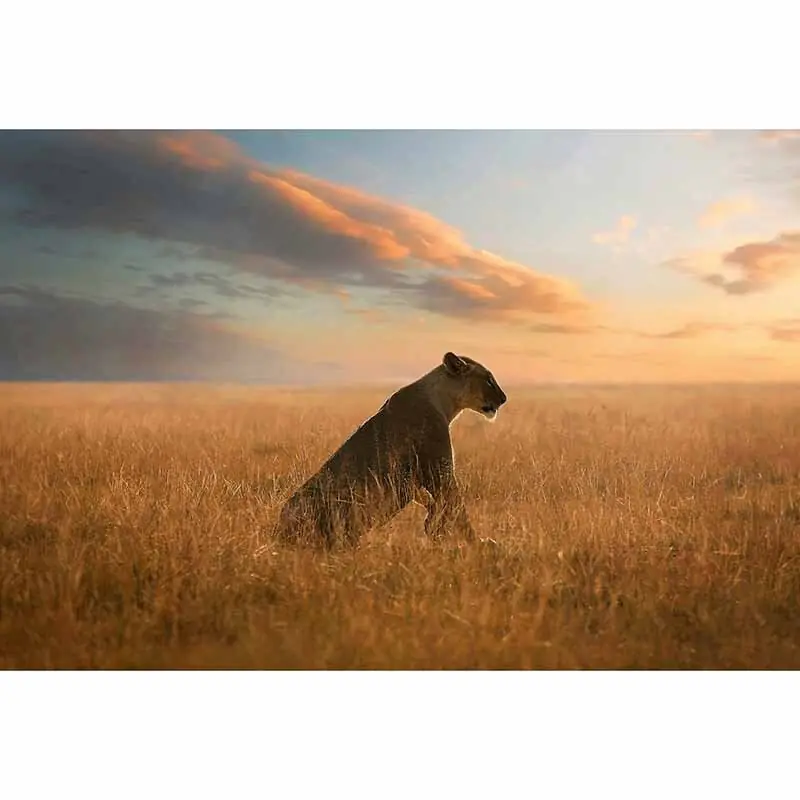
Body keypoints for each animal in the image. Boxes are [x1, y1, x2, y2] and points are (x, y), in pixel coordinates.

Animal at [272, 351, 508, 548]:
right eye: (488, 379)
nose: (504, 398)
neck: (443, 401)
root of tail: (276, 534)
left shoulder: (415, 480)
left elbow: (437, 505)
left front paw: (434, 526)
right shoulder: (439, 470)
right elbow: (458, 508)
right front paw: (479, 543)